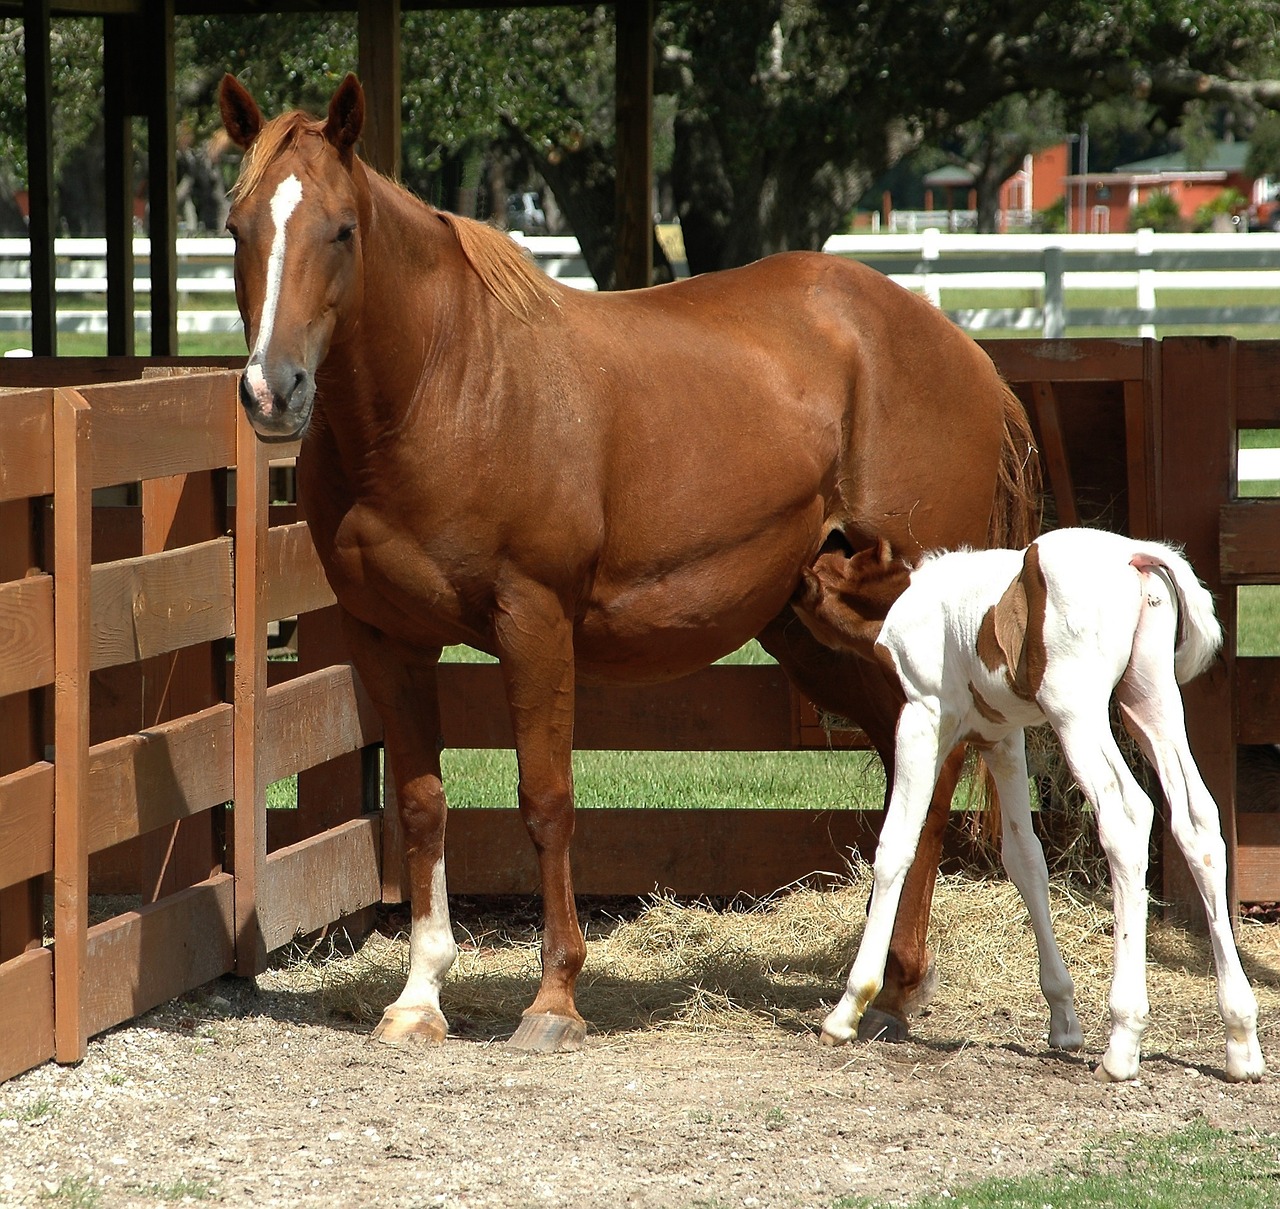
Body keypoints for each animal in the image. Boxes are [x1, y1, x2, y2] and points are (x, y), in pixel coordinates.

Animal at [793, 527, 1264, 1084]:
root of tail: (1136, 555)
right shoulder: (1003, 739)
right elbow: (1025, 860)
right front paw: (1063, 1020)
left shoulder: (923, 718)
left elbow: (896, 846)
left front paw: (847, 1010)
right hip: (1150, 702)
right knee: (1199, 824)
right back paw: (1241, 1040)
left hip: (1076, 712)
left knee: (1128, 817)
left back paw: (1122, 1043)